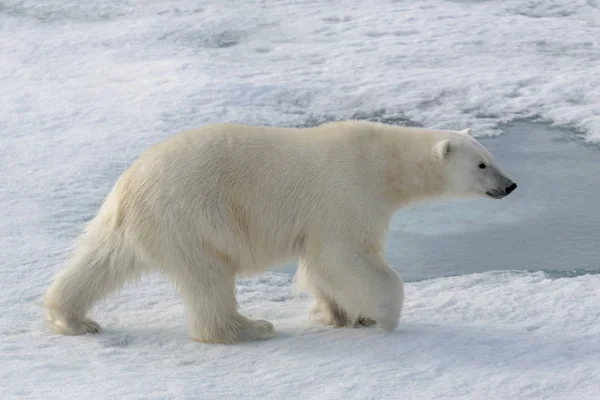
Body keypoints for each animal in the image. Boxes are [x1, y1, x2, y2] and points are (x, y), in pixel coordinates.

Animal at [43, 120, 516, 342]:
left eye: (493, 158)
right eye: (482, 164)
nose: (510, 185)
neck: (383, 163)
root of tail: (130, 186)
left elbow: (320, 266)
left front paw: (340, 314)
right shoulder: (346, 193)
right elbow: (346, 256)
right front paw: (381, 315)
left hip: (138, 223)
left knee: (100, 261)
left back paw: (73, 318)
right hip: (194, 215)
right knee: (209, 277)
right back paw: (249, 328)